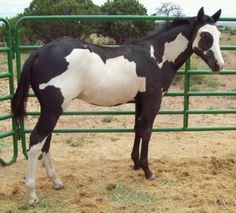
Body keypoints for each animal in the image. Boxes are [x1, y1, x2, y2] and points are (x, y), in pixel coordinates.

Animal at [12, 7, 223, 205]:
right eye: (205, 35)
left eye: (218, 35)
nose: (218, 65)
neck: (156, 57)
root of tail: (39, 53)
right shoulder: (152, 101)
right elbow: (146, 132)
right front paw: (148, 171)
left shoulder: (140, 102)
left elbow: (137, 129)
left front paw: (135, 163)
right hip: (53, 110)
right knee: (36, 141)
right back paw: (32, 194)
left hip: (52, 110)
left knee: (45, 142)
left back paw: (56, 182)